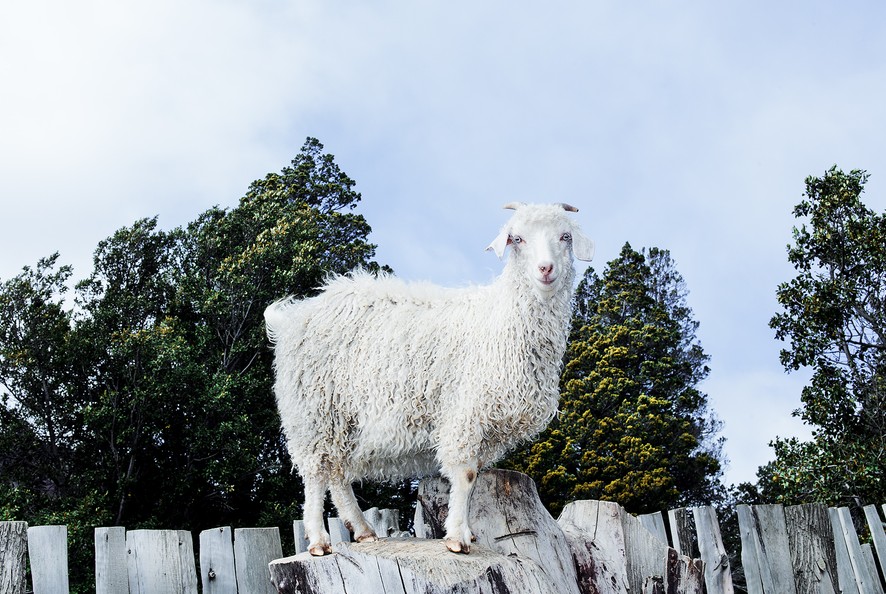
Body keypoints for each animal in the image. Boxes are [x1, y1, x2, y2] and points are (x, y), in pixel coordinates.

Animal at [266, 204, 596, 556]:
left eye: (565, 236)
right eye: (517, 239)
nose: (545, 269)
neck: (500, 321)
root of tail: (293, 318)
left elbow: (474, 479)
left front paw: (466, 531)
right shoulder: (464, 413)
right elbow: (466, 475)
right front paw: (457, 539)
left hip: (342, 420)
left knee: (338, 473)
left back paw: (363, 529)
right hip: (314, 411)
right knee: (316, 473)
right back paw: (318, 540)